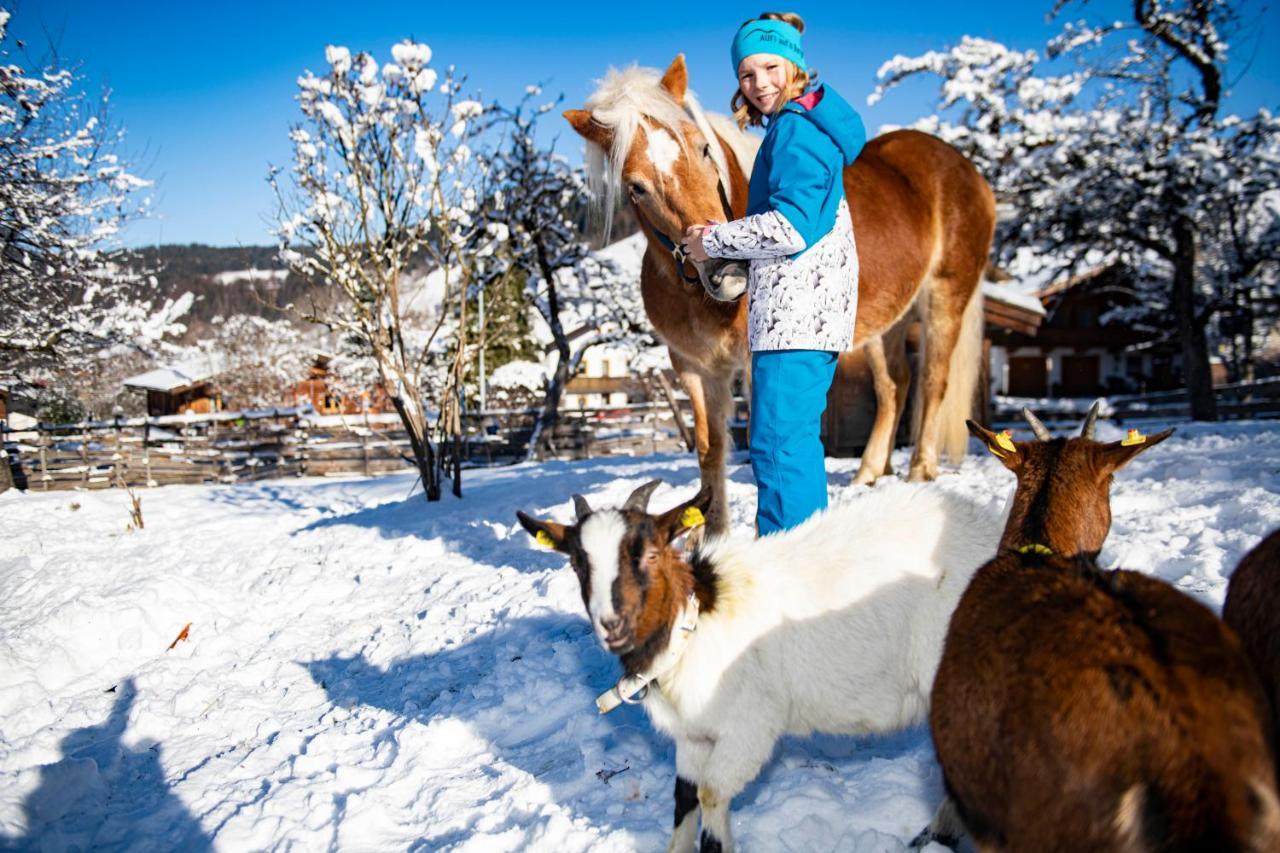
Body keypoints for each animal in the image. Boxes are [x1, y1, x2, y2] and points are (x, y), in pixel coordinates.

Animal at [519, 479, 998, 850]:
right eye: (577, 564)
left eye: (652, 554)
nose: (612, 626)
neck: (693, 624)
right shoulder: (693, 736)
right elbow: (684, 797)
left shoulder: (749, 727)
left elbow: (711, 797)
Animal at [565, 54, 993, 532]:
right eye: (636, 187)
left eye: (703, 149)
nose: (728, 269)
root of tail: (967, 171)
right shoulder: (694, 368)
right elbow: (711, 450)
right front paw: (714, 537)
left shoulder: (756, 364)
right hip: (887, 324)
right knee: (894, 386)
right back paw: (869, 472)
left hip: (945, 300)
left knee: (933, 382)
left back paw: (920, 469)